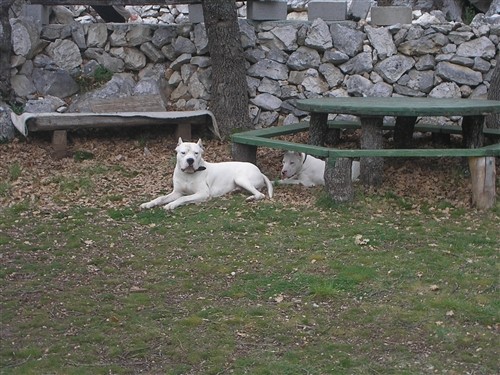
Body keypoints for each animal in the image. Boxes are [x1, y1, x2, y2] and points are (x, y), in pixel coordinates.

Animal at [140, 138, 274, 210]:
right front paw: (148, 204)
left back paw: (251, 198)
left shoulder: (202, 194)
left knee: (260, 194)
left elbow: (184, 198)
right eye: (183, 153)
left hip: (240, 178)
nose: (190, 160)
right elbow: (161, 198)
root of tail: (259, 171)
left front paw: (171, 205)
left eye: (196, 153)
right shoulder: (176, 192)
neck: (187, 174)